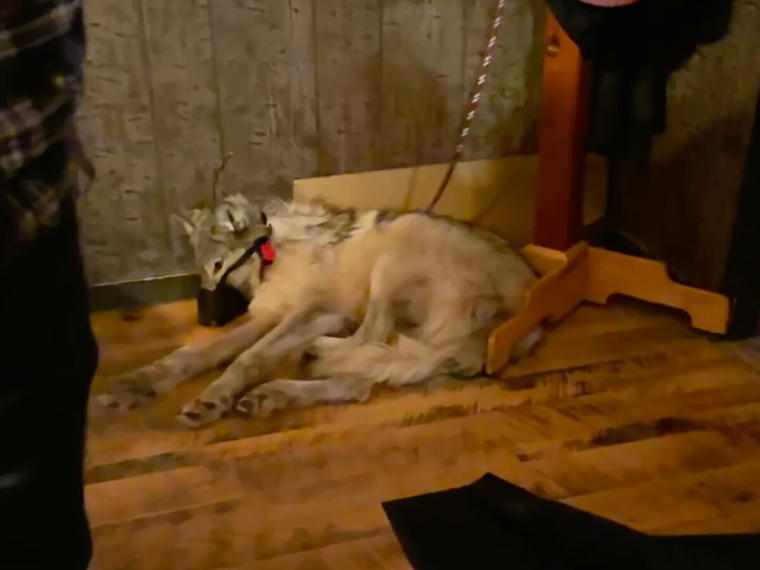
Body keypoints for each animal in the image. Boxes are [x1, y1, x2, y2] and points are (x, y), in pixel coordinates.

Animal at [98, 194, 541, 428]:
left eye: (220, 267)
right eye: (204, 272)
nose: (204, 320)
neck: (273, 255)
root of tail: (524, 317)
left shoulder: (314, 311)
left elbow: (246, 358)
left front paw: (213, 397)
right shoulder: (267, 316)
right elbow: (195, 353)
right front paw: (139, 382)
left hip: (398, 249)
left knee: (370, 337)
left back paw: (311, 356)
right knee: (359, 382)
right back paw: (277, 392)